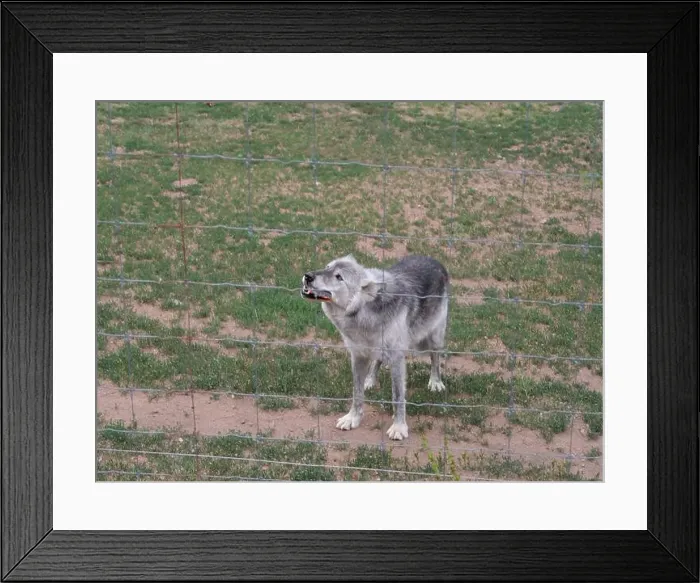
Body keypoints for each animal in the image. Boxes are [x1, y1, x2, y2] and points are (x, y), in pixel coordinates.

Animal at [301, 254, 449, 440]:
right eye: (327, 267)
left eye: (339, 277)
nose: (307, 276)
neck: (364, 313)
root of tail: (432, 259)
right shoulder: (357, 355)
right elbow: (357, 393)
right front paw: (353, 419)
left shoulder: (397, 359)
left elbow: (398, 397)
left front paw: (399, 428)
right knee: (377, 362)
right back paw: (370, 380)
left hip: (435, 338)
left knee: (435, 359)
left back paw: (435, 383)